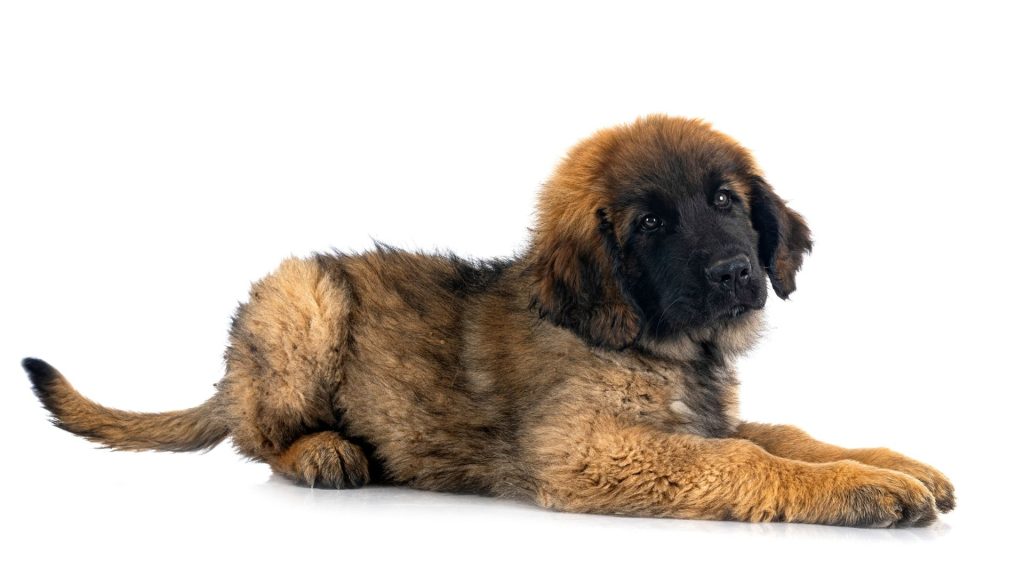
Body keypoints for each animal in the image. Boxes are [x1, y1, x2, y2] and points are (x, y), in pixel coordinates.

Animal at [24, 115, 954, 524]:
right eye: (651, 223)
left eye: (725, 201)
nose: (737, 273)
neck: (649, 340)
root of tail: (231, 378)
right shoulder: (590, 451)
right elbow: (746, 459)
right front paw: (859, 489)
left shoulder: (697, 415)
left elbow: (786, 434)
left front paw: (894, 465)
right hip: (303, 301)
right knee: (260, 438)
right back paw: (324, 451)